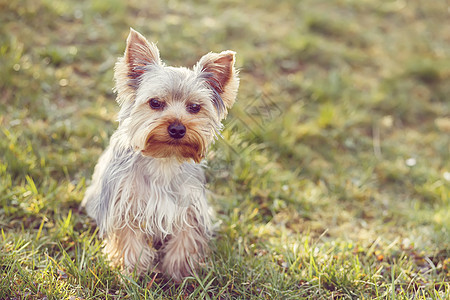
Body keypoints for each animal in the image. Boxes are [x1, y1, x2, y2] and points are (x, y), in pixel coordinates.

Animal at [81, 27, 239, 282]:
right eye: (155, 103)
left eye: (195, 107)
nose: (177, 128)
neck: (164, 159)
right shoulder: (125, 205)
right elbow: (129, 240)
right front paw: (132, 271)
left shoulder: (190, 207)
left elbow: (186, 238)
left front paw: (180, 272)